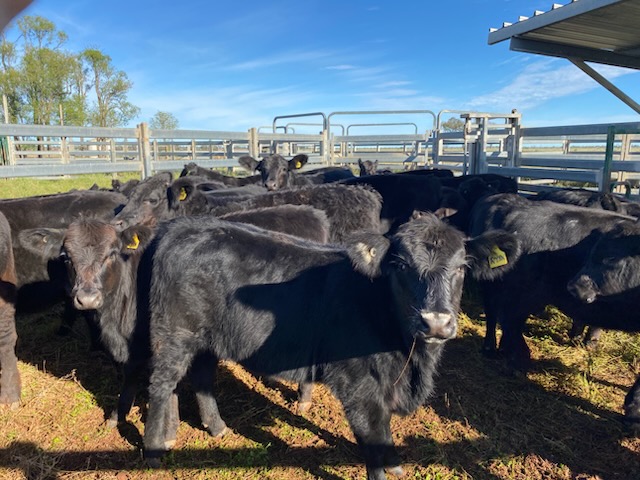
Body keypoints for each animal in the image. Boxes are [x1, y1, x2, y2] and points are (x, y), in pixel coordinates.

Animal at [141, 213, 521, 479]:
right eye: (400, 265)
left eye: (462, 267)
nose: (436, 322)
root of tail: (184, 224)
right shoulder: (358, 385)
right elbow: (372, 438)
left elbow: (385, 430)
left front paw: (396, 463)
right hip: (172, 333)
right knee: (161, 385)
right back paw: (153, 451)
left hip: (208, 338)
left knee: (201, 376)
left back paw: (216, 428)